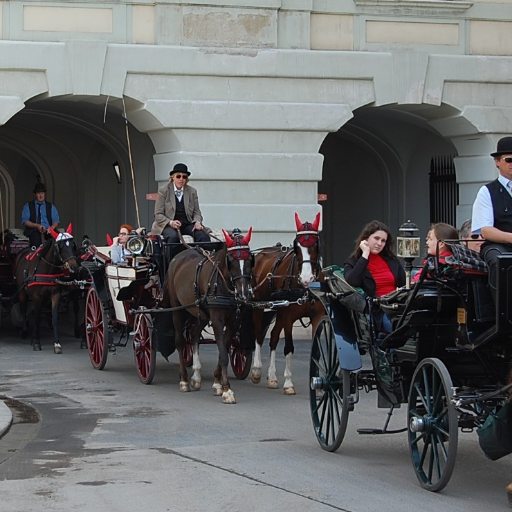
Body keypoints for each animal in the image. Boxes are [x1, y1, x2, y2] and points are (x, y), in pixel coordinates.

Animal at [14, 226, 79, 354]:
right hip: (22, 292)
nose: (74, 267)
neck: (47, 269)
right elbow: (36, 317)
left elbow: (54, 318)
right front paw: (36, 342)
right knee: (24, 308)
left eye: (72, 245)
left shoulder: (55, 294)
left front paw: (57, 343)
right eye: (61, 246)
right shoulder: (36, 296)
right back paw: (24, 331)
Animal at [166, 229, 254, 404]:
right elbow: (223, 354)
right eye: (231, 260)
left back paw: (196, 377)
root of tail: (178, 257)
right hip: (177, 309)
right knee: (180, 342)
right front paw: (227, 390)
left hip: (200, 313)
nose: (243, 295)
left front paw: (217, 383)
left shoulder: (233, 322)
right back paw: (184, 380)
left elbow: (223, 350)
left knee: (193, 335)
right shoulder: (217, 320)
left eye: (249, 259)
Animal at [250, 214, 326, 394]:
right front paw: (289, 382)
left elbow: (317, 350)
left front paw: (318, 383)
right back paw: (257, 370)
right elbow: (289, 348)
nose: (306, 278)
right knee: (258, 335)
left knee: (273, 338)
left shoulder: (316, 316)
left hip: (278, 309)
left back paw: (272, 376)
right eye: (296, 246)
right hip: (259, 305)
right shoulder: (289, 317)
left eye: (315, 244)